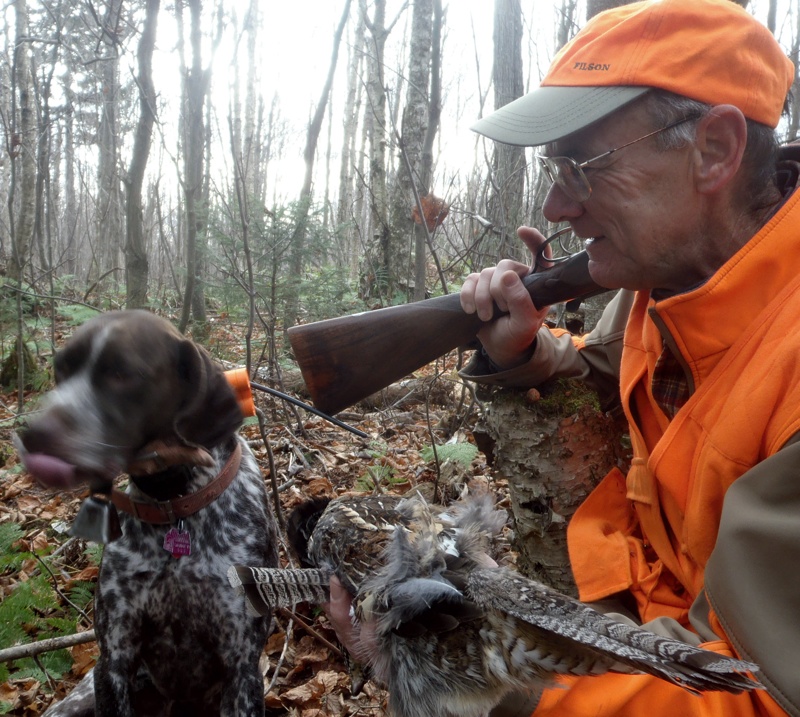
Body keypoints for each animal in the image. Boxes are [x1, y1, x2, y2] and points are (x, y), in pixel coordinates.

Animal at [17, 312, 278, 716]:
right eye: (61, 370)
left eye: (122, 373)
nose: (33, 435)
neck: (173, 505)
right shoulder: (113, 662)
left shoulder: (242, 667)